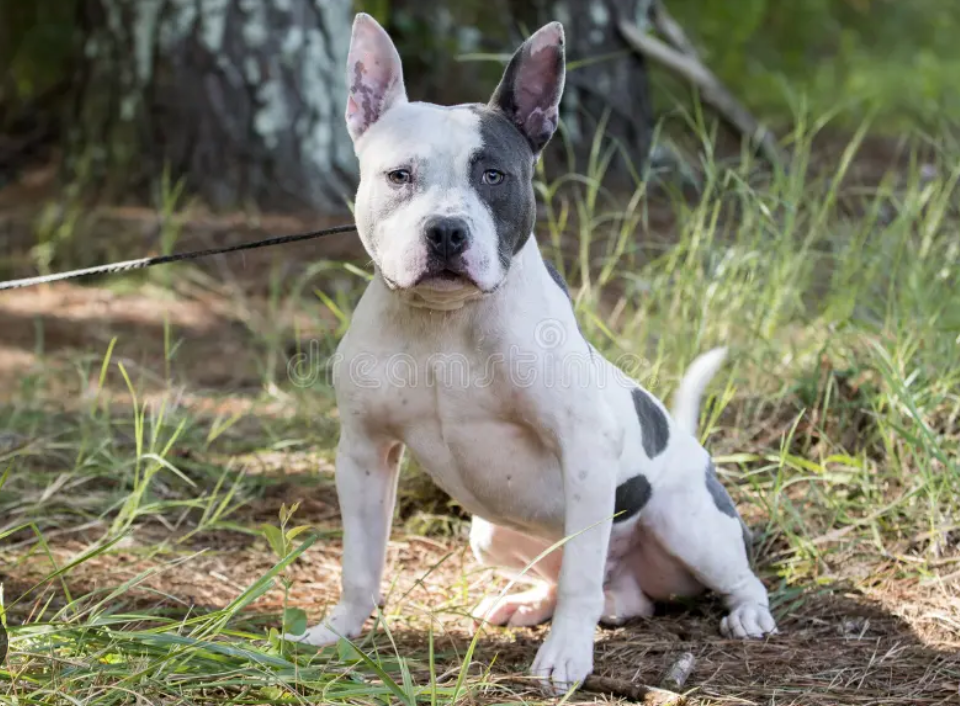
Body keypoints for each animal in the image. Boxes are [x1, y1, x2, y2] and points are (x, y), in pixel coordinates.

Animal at [284, 13, 780, 692]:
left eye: (493, 176)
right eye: (399, 175)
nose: (446, 231)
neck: (446, 324)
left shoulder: (585, 446)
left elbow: (578, 584)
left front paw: (565, 656)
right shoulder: (363, 451)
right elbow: (361, 564)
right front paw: (335, 633)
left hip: (691, 524)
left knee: (721, 576)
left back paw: (747, 613)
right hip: (491, 532)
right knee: (593, 585)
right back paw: (527, 602)